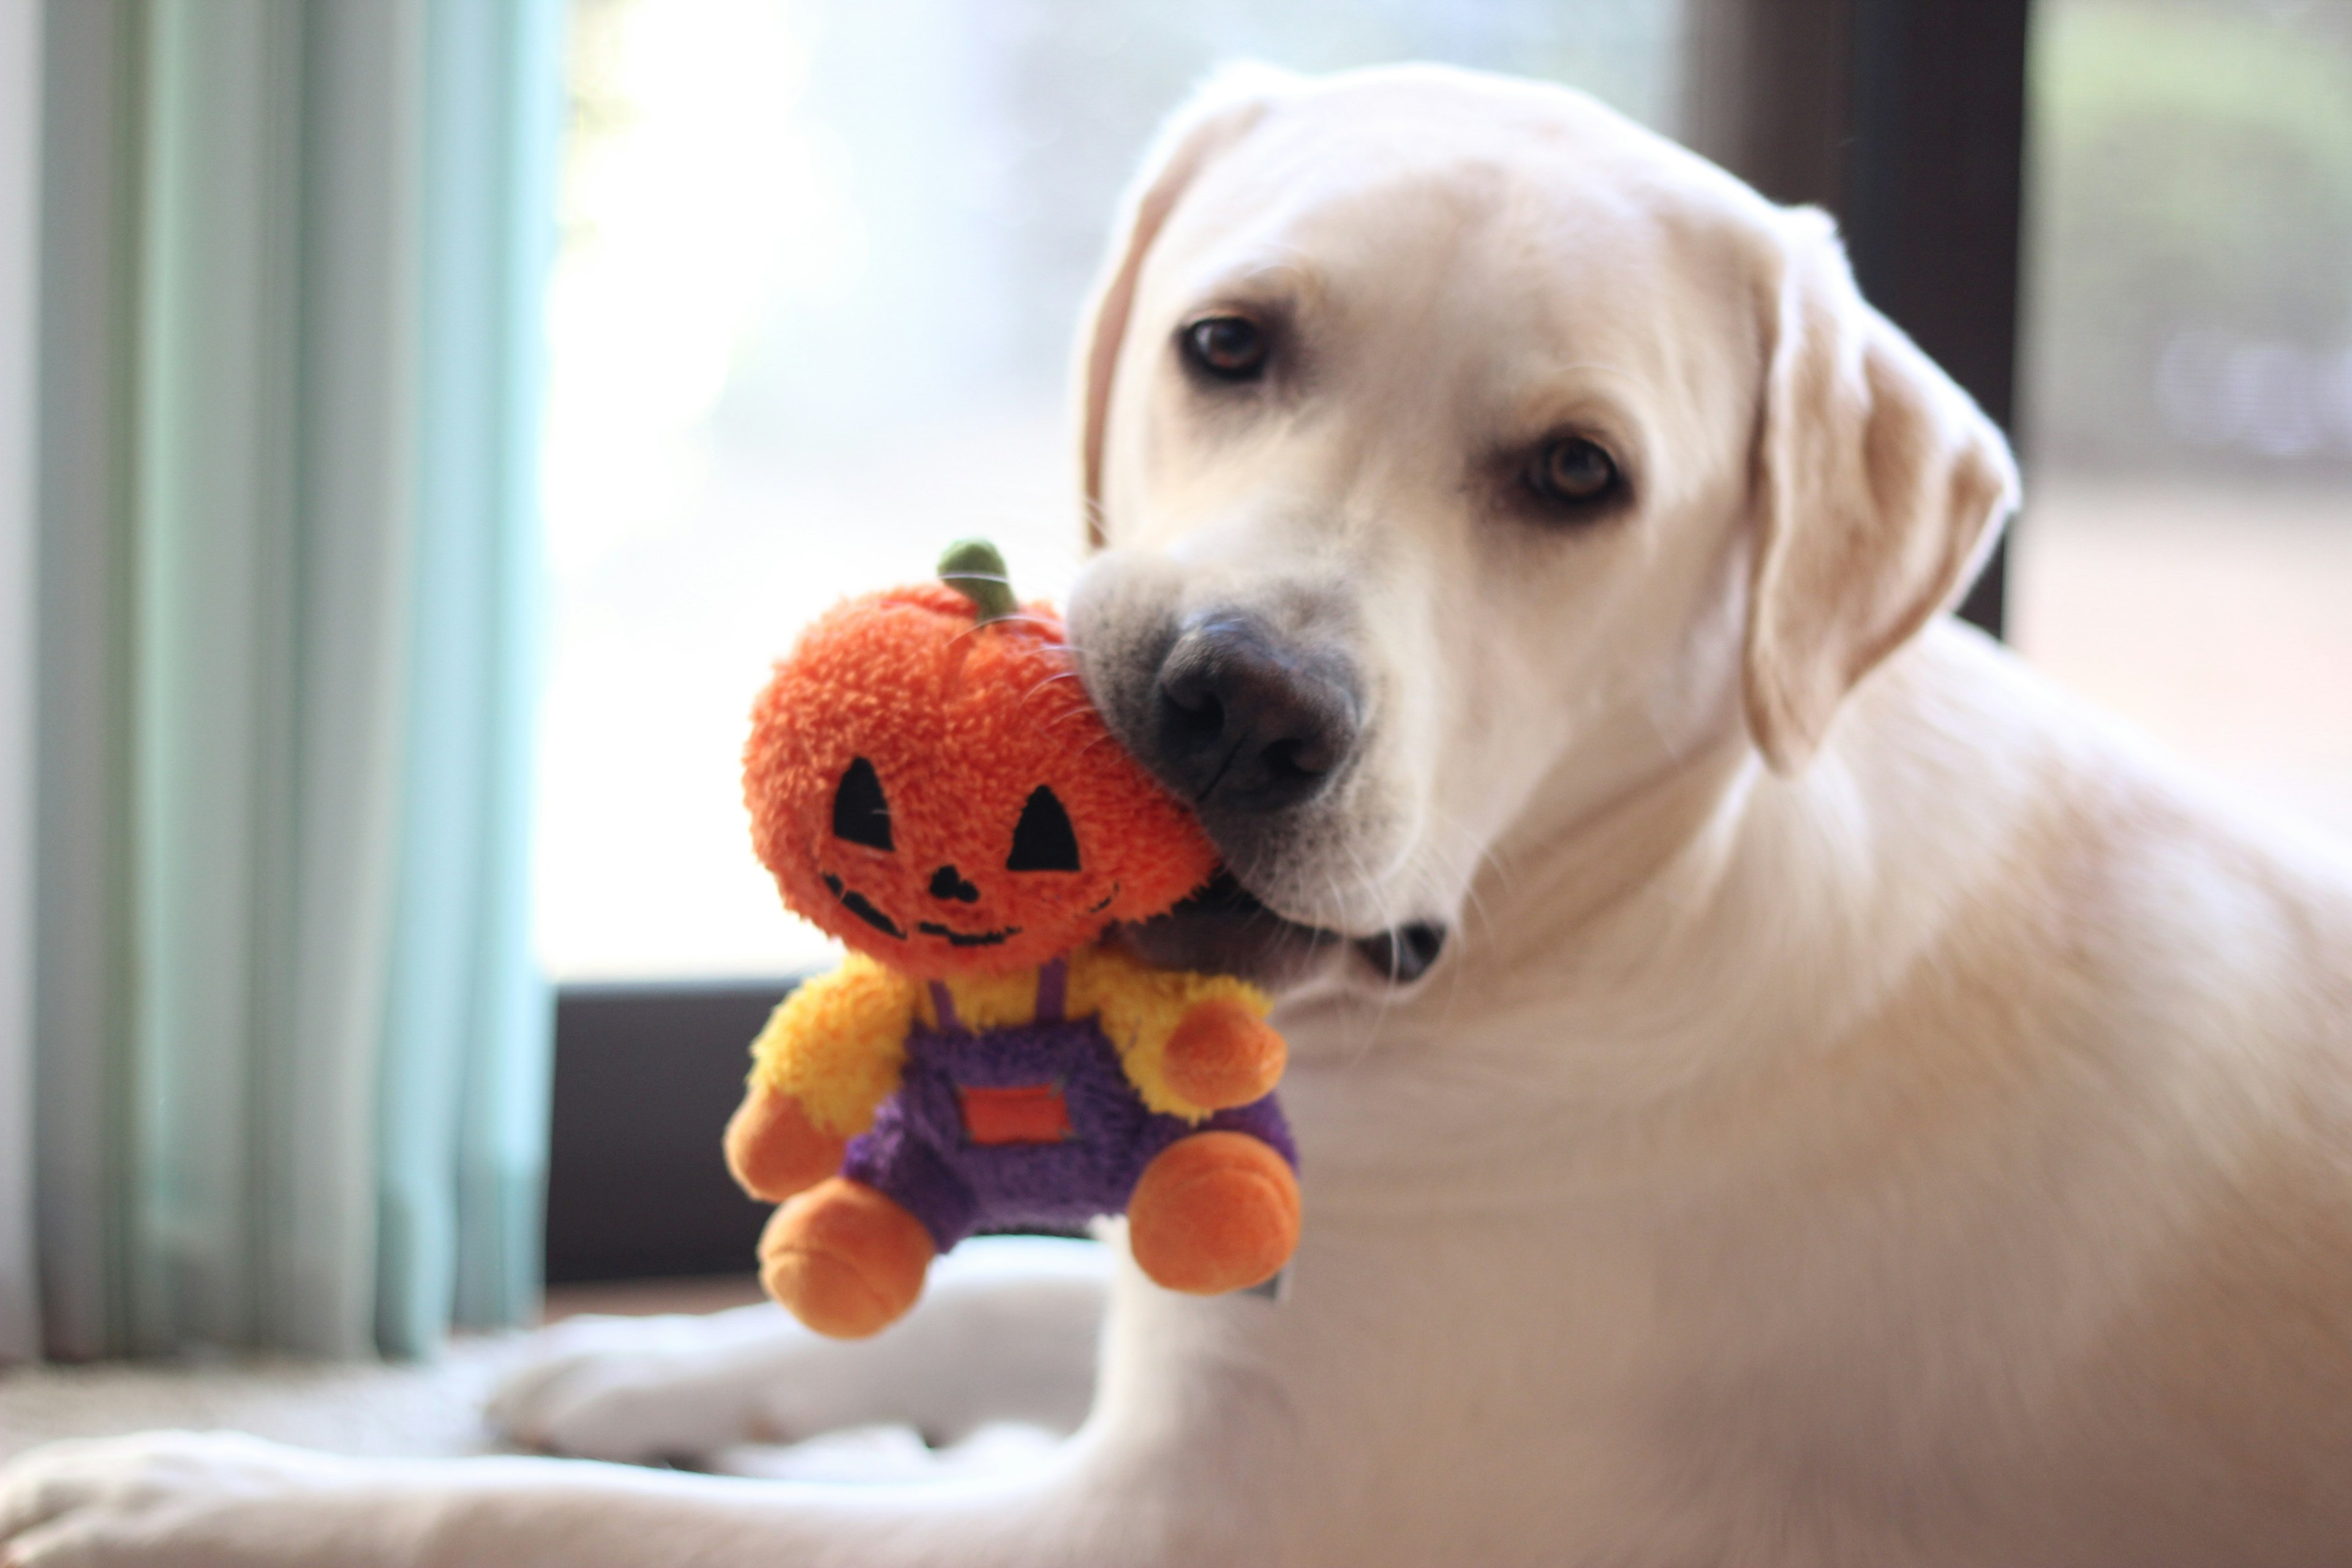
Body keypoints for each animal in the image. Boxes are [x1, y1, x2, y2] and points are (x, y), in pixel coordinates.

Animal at [4, 61, 2352, 1568]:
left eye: (1576, 476)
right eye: (1229, 343)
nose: (1238, 703)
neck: (1596, 923)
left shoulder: (1176, 1521)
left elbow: (547, 1525)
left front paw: (195, 1494)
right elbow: (994, 1290)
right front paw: (649, 1366)